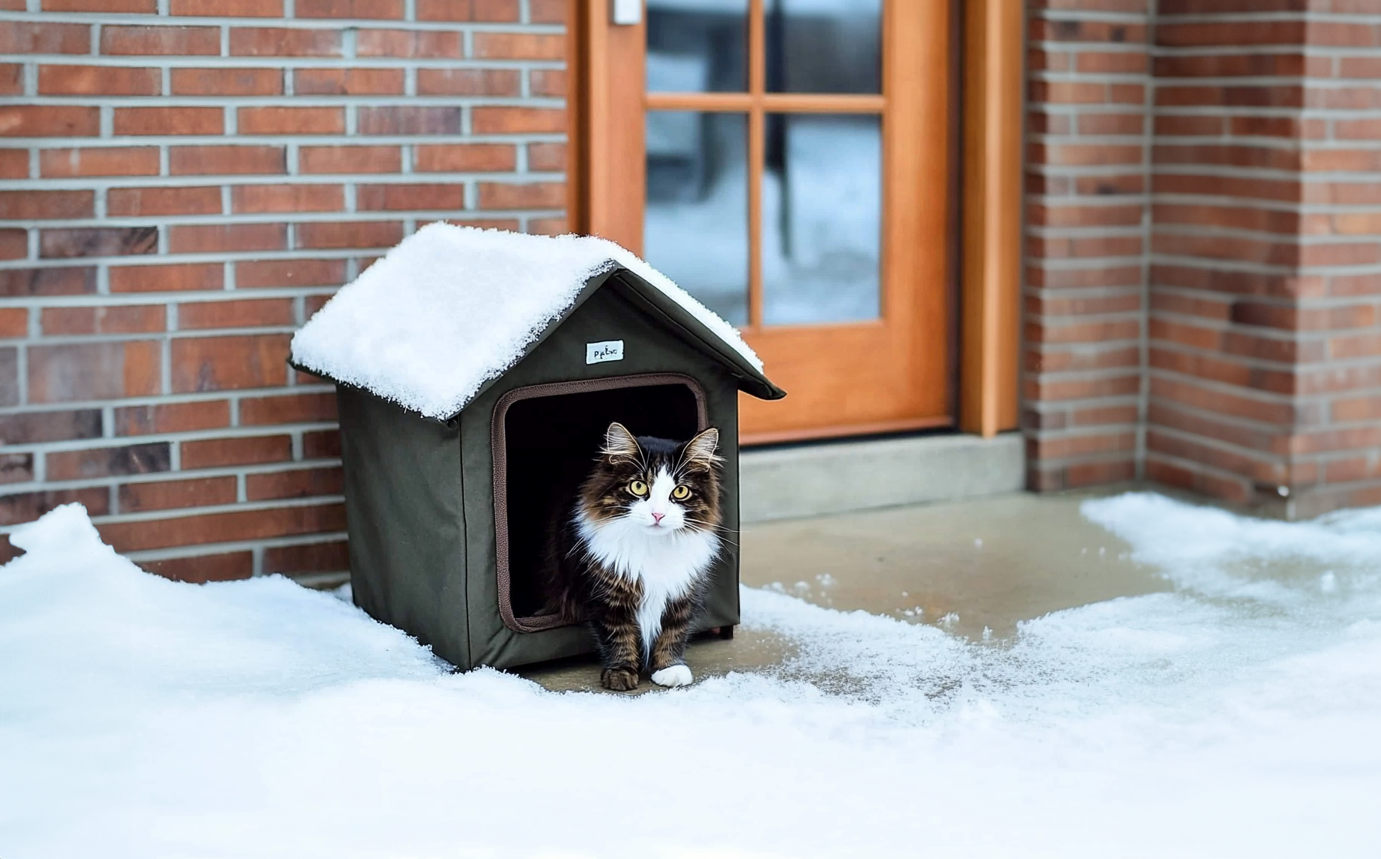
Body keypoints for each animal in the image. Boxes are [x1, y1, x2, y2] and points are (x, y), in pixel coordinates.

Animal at [546, 425, 729, 693]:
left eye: (680, 491)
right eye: (639, 487)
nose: (658, 514)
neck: (652, 548)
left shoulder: (682, 594)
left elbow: (673, 633)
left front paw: (669, 669)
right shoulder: (608, 598)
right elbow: (619, 637)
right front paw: (620, 673)